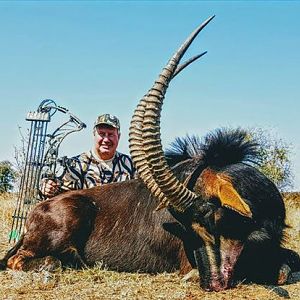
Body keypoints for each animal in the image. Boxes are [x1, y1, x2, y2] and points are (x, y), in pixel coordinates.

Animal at [1, 16, 298, 290]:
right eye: (190, 230)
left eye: (211, 219)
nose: (210, 283)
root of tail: (34, 215)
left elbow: (288, 263)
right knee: (26, 260)